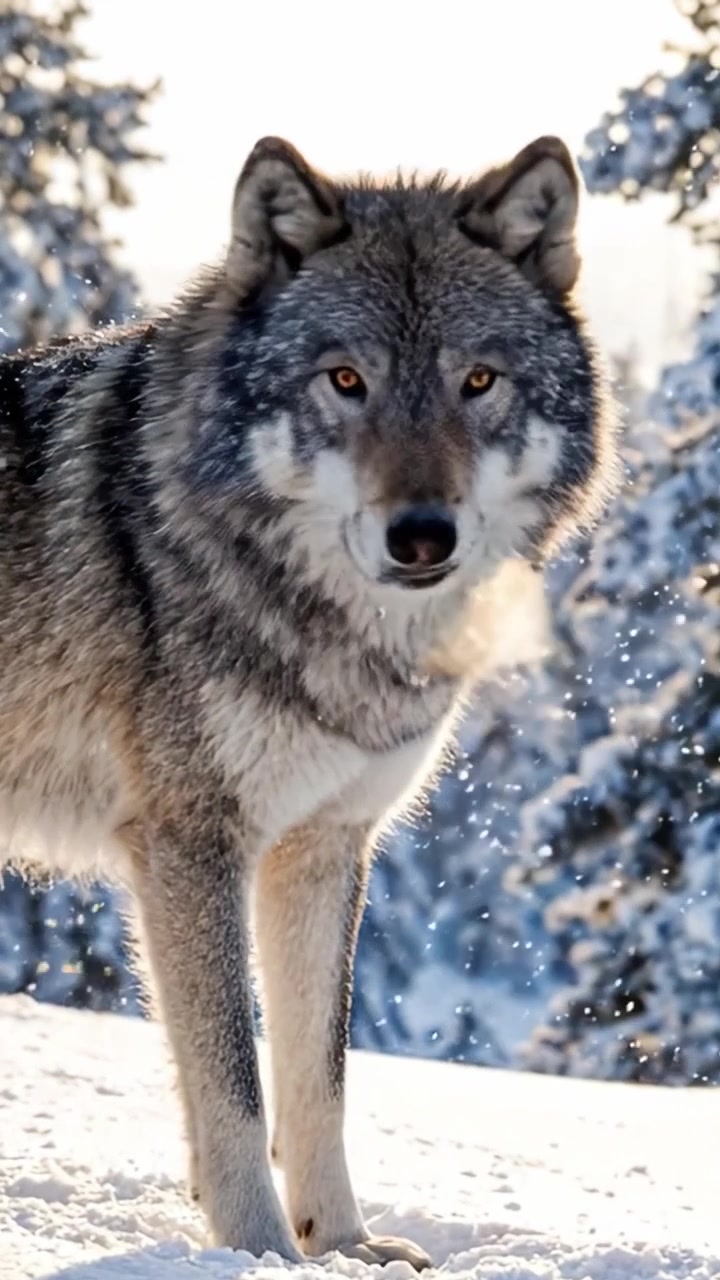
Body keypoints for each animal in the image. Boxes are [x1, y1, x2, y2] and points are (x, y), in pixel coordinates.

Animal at [0, 134, 617, 1267]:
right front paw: (260, 1254)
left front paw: (341, 1244)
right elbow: (235, 1086)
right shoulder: (191, 843)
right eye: (345, 380)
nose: (422, 534)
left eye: (477, 381)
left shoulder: (324, 845)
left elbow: (318, 1077)